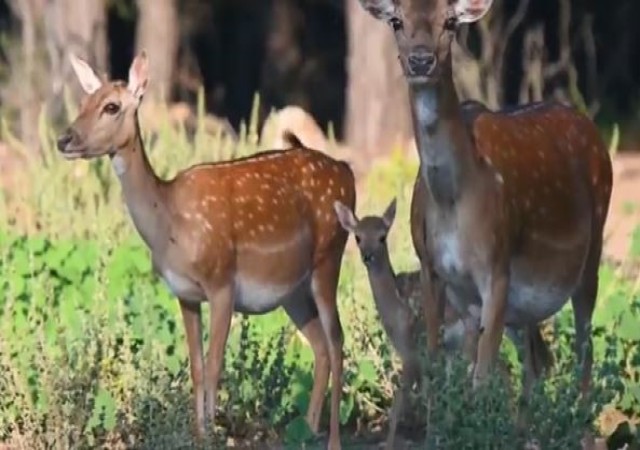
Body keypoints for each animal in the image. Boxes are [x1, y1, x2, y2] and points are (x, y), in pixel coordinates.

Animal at [55, 50, 356, 450]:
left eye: (111, 106)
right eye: (83, 102)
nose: (64, 139)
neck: (171, 225)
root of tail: (347, 172)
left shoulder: (222, 282)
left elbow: (214, 367)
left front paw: (213, 434)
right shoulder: (184, 293)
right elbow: (196, 368)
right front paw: (199, 435)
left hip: (329, 257)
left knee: (337, 342)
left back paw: (333, 439)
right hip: (292, 291)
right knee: (320, 347)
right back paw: (306, 431)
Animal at [358, 0, 612, 400]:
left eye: (449, 22)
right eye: (396, 21)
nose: (420, 60)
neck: (451, 200)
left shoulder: (498, 268)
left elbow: (481, 377)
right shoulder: (432, 268)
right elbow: (438, 363)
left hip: (593, 247)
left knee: (584, 349)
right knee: (538, 362)